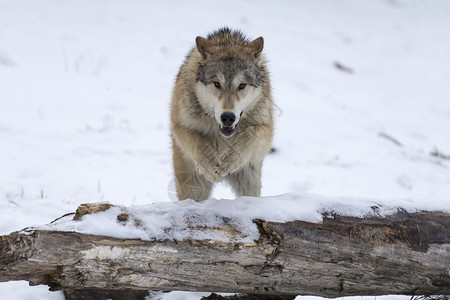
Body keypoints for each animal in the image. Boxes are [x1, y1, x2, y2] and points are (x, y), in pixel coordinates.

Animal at [171, 27, 272, 202]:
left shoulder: (266, 130)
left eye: (242, 85)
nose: (228, 117)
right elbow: (197, 143)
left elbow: (253, 133)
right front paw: (211, 167)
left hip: (250, 183)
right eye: (217, 84)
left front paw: (229, 161)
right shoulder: (180, 127)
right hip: (193, 187)